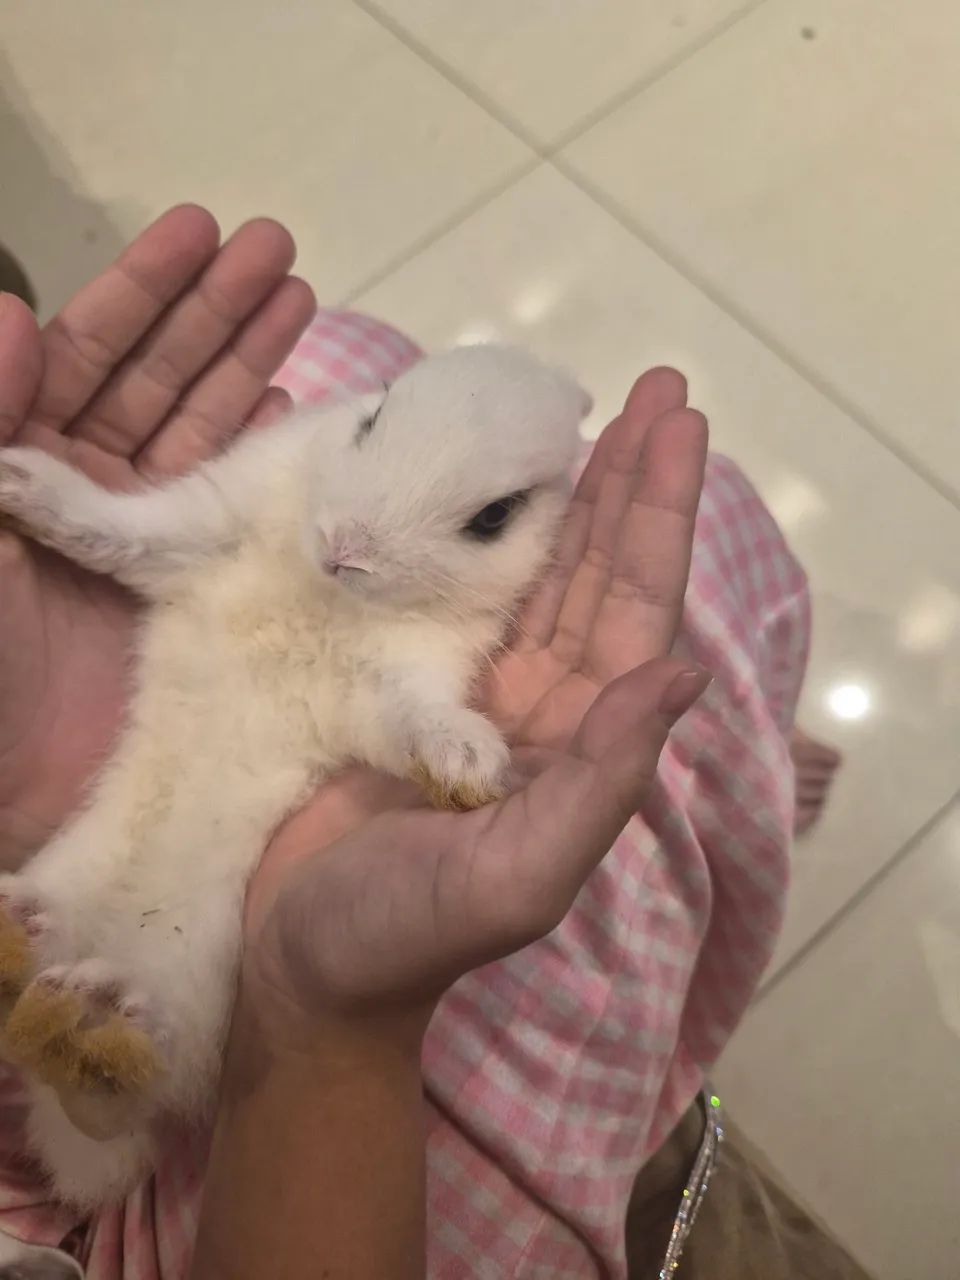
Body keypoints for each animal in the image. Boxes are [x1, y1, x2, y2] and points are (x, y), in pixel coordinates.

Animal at [0, 342, 587, 1210]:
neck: (324, 594)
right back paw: (27, 940)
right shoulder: (203, 530)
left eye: (494, 518)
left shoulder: (398, 678)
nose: (347, 547)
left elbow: (415, 716)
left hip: (188, 980)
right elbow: (118, 530)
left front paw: (466, 763)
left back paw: (93, 1025)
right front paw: (19, 483)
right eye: (373, 416)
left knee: (120, 1091)